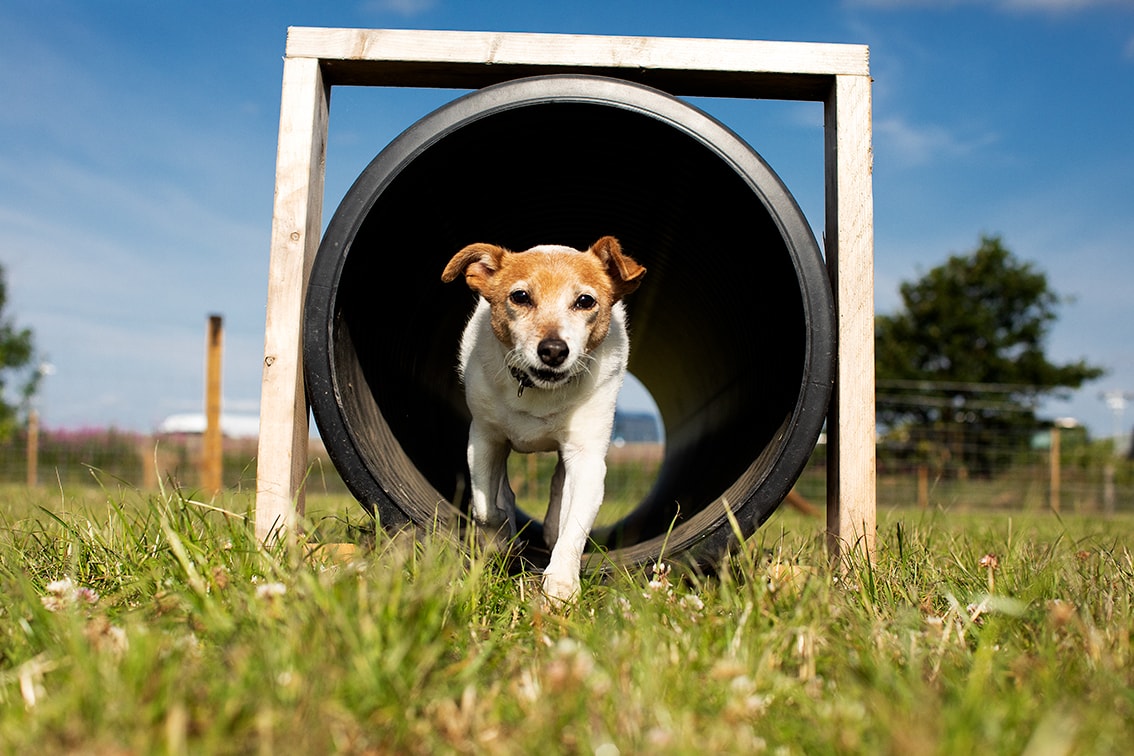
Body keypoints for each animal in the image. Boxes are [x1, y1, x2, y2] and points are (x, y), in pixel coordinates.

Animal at [439, 236, 644, 602]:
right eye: (520, 296)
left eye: (585, 301)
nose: (553, 350)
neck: (539, 391)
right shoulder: (485, 439)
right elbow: (486, 509)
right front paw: (500, 541)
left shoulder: (587, 458)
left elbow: (573, 525)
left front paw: (561, 582)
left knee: (558, 492)